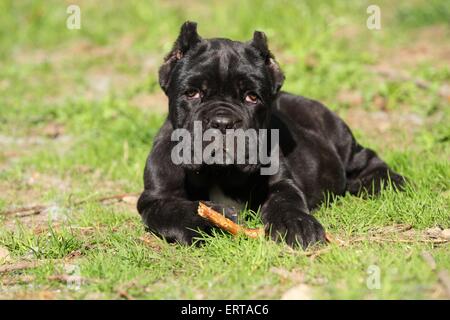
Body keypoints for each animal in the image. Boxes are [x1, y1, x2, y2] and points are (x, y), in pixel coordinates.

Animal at [136, 21, 404, 248]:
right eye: (192, 93)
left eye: (252, 97)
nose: (223, 122)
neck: (220, 174)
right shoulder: (155, 198)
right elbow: (175, 211)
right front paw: (209, 218)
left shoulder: (281, 183)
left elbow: (286, 203)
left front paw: (298, 226)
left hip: (339, 134)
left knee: (366, 160)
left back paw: (386, 183)